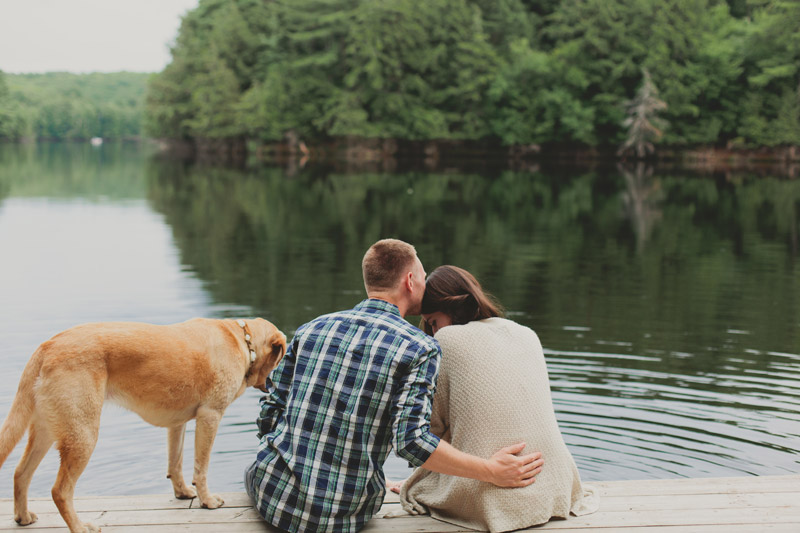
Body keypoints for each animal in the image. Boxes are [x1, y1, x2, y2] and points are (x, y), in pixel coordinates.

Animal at [0, 318, 286, 528]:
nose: (275, 387)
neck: (242, 340)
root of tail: (47, 345)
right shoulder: (210, 416)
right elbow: (201, 468)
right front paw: (207, 501)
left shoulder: (177, 423)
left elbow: (175, 463)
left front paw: (183, 492)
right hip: (83, 434)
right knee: (60, 491)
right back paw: (80, 527)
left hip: (48, 430)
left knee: (20, 473)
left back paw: (23, 517)